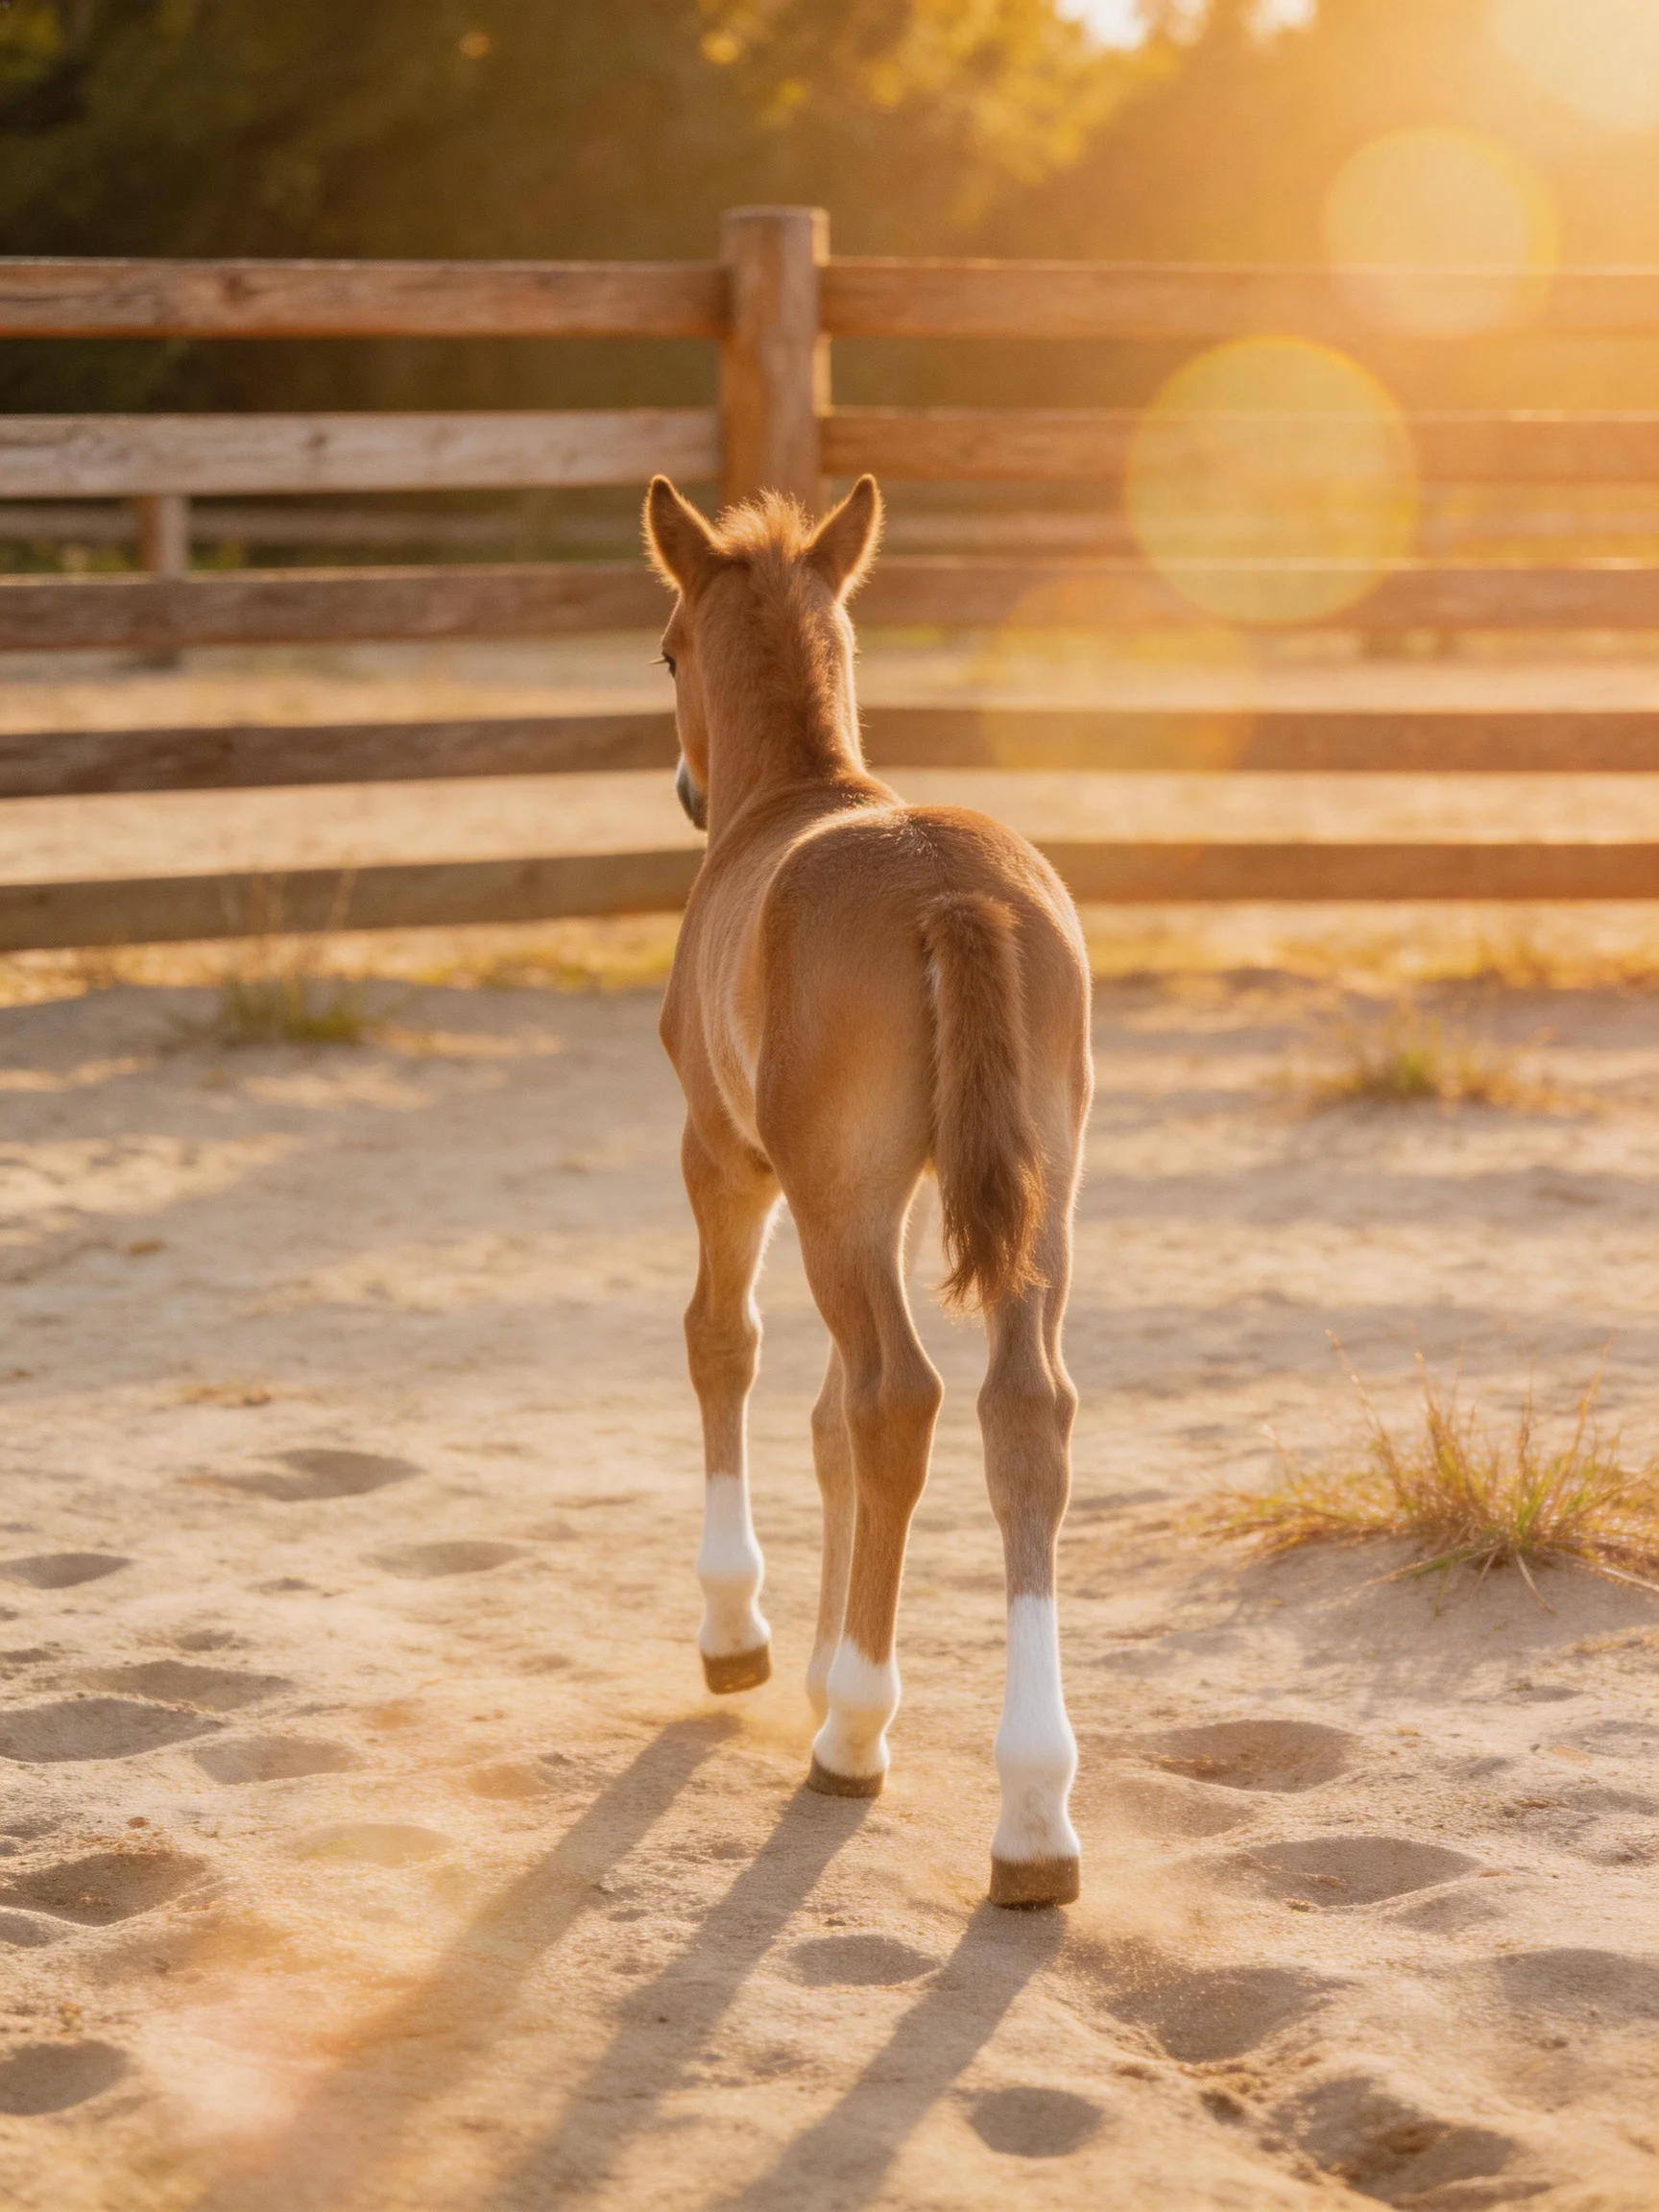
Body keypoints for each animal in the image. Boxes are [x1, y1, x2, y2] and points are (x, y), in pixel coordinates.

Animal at [645, 471, 1092, 1907]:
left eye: (666, 648)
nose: (690, 787)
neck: (800, 797)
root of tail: (951, 892)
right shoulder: (882, 1199)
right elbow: (826, 1422)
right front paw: (822, 1652)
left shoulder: (727, 1158)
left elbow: (727, 1348)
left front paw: (743, 1633)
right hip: (1037, 1208)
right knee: (1021, 1414)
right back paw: (1033, 1811)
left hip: (832, 1203)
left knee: (901, 1399)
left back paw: (854, 1733)